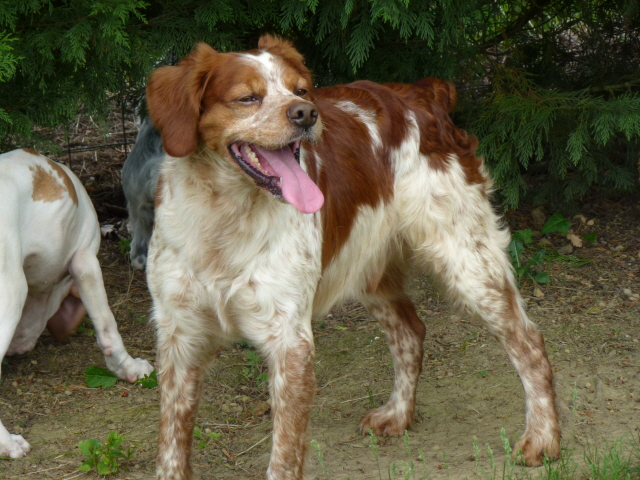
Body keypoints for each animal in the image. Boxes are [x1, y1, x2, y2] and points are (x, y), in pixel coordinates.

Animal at [0, 149, 154, 458]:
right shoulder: (85, 260)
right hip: (11, 292)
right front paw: (128, 369)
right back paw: (7, 443)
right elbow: (108, 328)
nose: (16, 349)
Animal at [145, 35, 561, 480]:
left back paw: (543, 438)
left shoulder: (289, 342)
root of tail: (423, 93)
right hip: (371, 268)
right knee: (411, 331)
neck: (223, 217)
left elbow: (284, 454)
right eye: (247, 98)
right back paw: (398, 414)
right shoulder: (179, 337)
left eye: (300, 89)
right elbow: (171, 445)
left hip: (467, 258)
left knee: (529, 342)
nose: (306, 113)